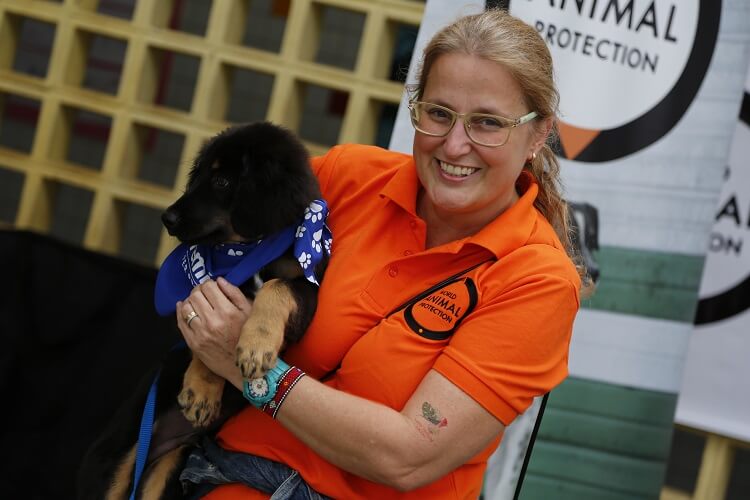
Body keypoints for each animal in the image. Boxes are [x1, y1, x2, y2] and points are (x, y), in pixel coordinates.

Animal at [78, 122, 330, 500]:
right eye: (197, 177)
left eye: (223, 181)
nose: (167, 218)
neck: (250, 249)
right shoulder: (203, 298)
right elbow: (205, 343)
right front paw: (201, 390)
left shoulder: (307, 289)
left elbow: (276, 287)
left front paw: (256, 347)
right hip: (116, 462)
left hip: (168, 470)